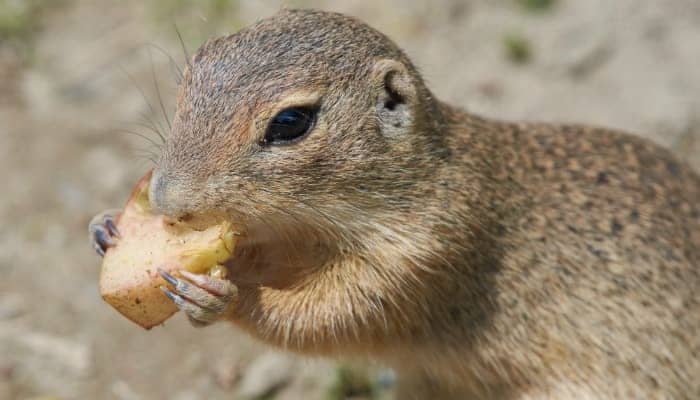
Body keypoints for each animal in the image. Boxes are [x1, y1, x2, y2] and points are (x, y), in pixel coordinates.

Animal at [89, 7, 700, 398]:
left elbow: (323, 319)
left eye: (291, 122)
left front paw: (222, 296)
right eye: (192, 70)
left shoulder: (423, 257)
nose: (166, 198)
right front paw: (108, 228)